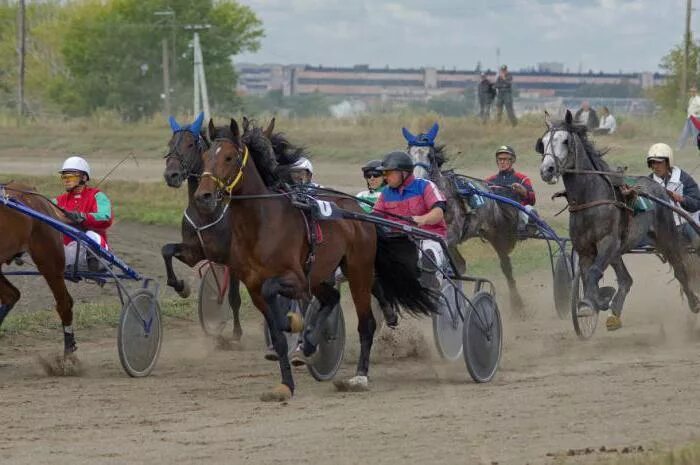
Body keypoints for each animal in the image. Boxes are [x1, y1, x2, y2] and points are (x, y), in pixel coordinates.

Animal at [194, 118, 440, 400]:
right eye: (204, 157)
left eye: (229, 157)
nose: (203, 196)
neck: (262, 224)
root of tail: (359, 212)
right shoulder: (255, 287)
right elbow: (278, 336)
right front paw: (286, 384)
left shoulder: (296, 279)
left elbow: (278, 300)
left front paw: (294, 323)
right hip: (323, 273)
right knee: (331, 298)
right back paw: (311, 344)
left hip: (358, 269)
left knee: (366, 323)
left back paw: (359, 376)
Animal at [404, 123, 524, 312]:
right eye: (409, 153)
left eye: (430, 155)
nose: (418, 178)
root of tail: (490, 191)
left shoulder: (450, 235)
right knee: (460, 265)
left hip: (495, 234)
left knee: (506, 266)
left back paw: (517, 304)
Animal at [540, 109, 696, 328]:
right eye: (543, 142)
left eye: (565, 140)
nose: (547, 170)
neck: (590, 198)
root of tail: (659, 188)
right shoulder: (585, 248)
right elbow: (588, 275)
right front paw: (597, 300)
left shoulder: (608, 241)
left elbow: (594, 272)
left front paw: (592, 301)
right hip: (619, 249)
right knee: (626, 279)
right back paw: (615, 311)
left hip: (666, 237)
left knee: (680, 269)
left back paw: (694, 302)